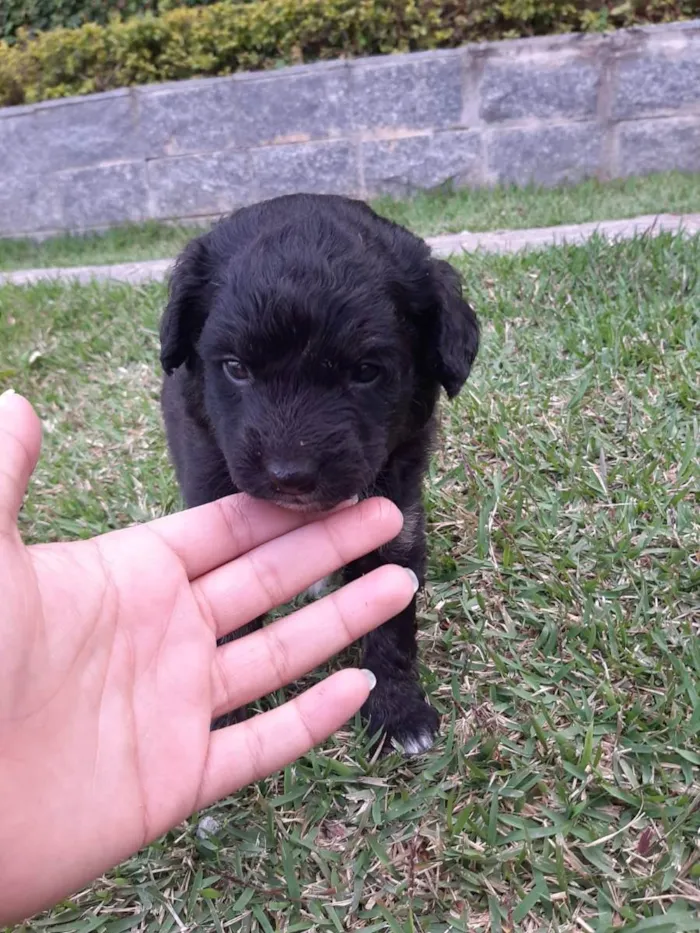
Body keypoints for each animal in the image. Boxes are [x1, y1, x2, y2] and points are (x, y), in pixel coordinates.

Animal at [161, 193, 478, 752]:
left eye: (367, 372)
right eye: (236, 368)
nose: (290, 475)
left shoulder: (397, 520)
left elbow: (391, 618)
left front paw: (398, 710)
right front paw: (225, 714)